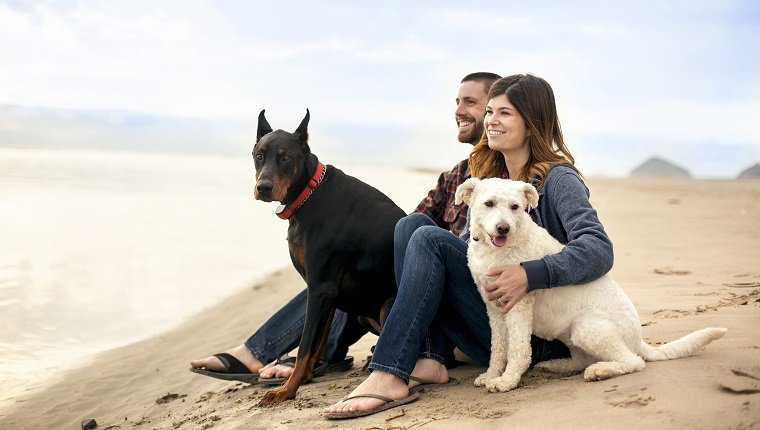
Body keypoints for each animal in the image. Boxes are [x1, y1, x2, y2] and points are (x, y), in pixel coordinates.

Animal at [454, 177, 728, 394]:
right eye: (489, 203)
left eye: (515, 207)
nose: (503, 228)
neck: (497, 250)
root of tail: (639, 340)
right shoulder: (493, 308)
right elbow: (498, 348)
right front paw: (491, 375)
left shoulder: (518, 306)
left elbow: (518, 350)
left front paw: (507, 381)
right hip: (572, 335)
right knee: (582, 360)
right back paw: (557, 366)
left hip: (587, 327)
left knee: (634, 362)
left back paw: (601, 371)